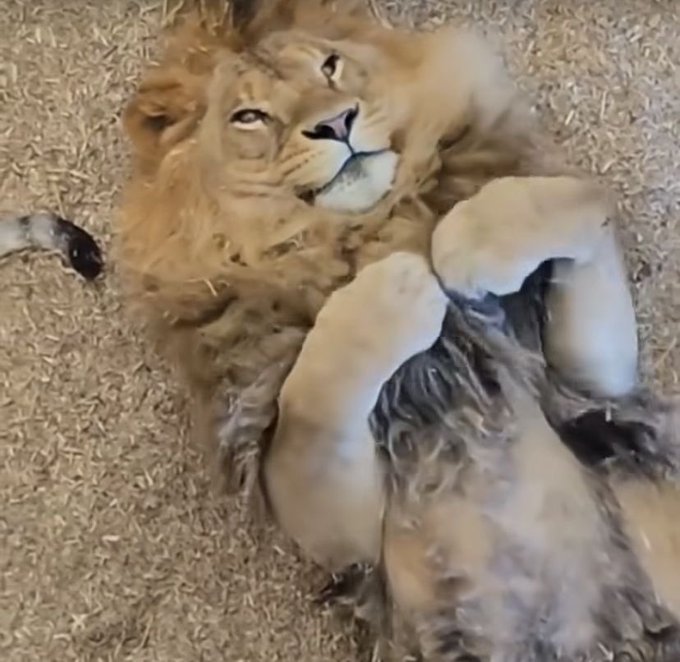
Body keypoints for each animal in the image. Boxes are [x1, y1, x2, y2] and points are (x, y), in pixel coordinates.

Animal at [116, 1, 680, 659]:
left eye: (330, 66)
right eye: (249, 116)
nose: (337, 123)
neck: (368, 223)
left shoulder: (589, 383)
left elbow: (579, 201)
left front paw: (462, 241)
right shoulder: (339, 528)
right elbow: (313, 395)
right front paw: (401, 278)